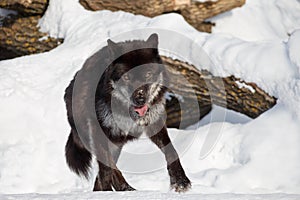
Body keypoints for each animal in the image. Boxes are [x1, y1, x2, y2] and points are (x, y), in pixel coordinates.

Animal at [64, 34, 191, 192]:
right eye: (126, 77)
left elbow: (171, 151)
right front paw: (109, 191)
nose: (139, 99)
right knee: (108, 168)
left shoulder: (154, 123)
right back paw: (122, 188)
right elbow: (107, 168)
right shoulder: (98, 132)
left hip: (116, 144)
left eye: (148, 74)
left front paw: (180, 181)